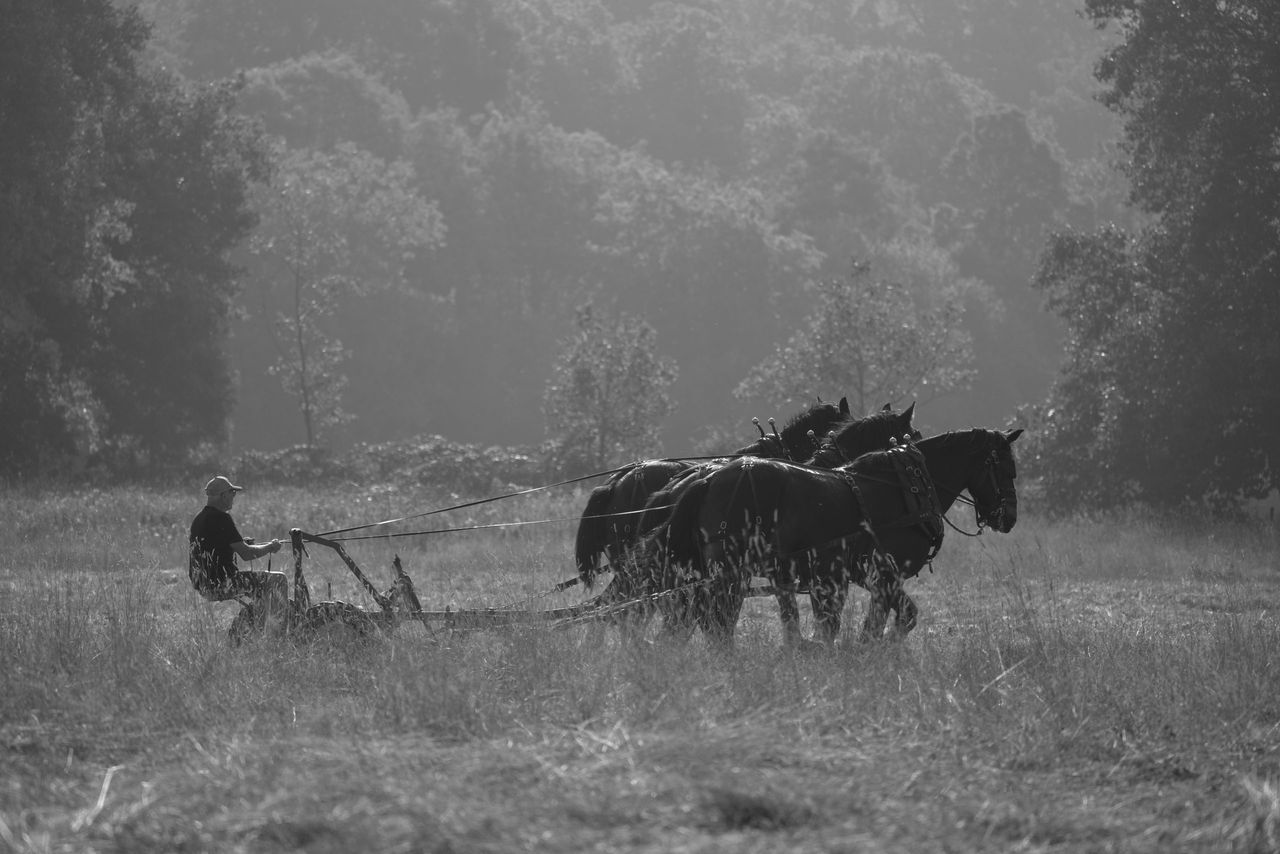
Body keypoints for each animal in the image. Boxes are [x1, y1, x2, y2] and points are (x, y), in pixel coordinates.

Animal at [650, 425, 1018, 650]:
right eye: (1004, 467)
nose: (1009, 517)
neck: (907, 488)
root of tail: (708, 479)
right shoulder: (884, 574)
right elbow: (892, 619)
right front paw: (874, 650)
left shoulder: (858, 576)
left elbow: (886, 617)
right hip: (731, 571)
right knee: (715, 621)